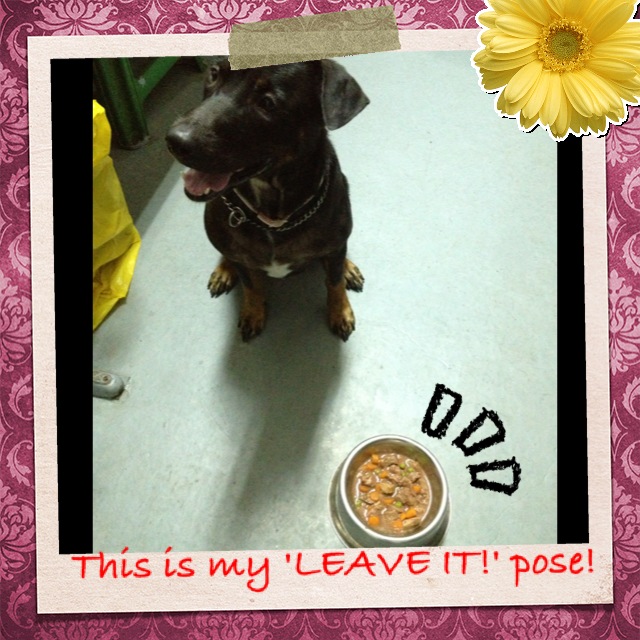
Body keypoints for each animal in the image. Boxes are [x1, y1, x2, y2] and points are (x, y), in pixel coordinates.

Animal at [166, 56, 368, 341]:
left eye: (268, 102)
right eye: (214, 73)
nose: (175, 141)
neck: (273, 216)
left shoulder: (334, 245)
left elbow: (334, 280)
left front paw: (340, 310)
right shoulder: (242, 258)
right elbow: (251, 285)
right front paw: (253, 311)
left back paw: (348, 267)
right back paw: (224, 269)